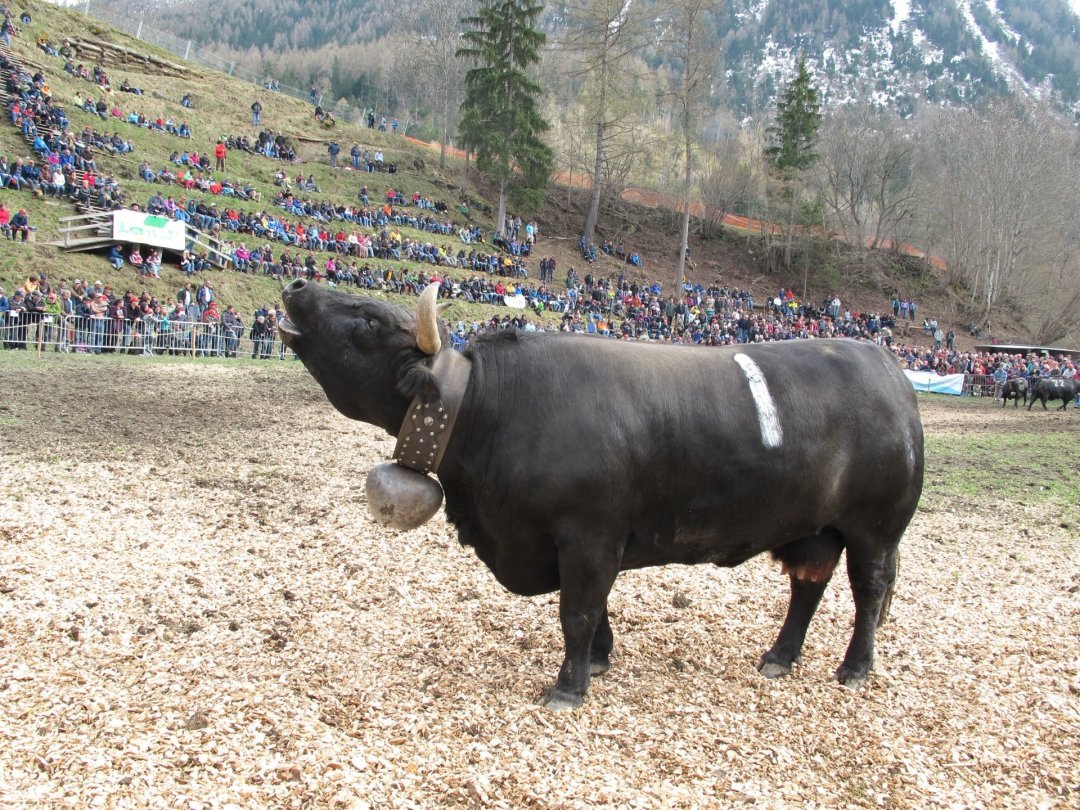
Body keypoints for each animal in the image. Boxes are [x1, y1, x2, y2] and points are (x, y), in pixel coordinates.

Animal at [280, 280, 928, 708]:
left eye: (367, 321)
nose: (297, 285)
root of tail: (883, 362)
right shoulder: (583, 540)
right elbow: (595, 610)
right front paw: (599, 657)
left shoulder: (589, 535)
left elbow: (577, 609)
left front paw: (569, 687)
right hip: (812, 528)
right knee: (808, 586)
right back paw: (779, 657)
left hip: (876, 526)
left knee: (869, 591)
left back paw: (855, 668)